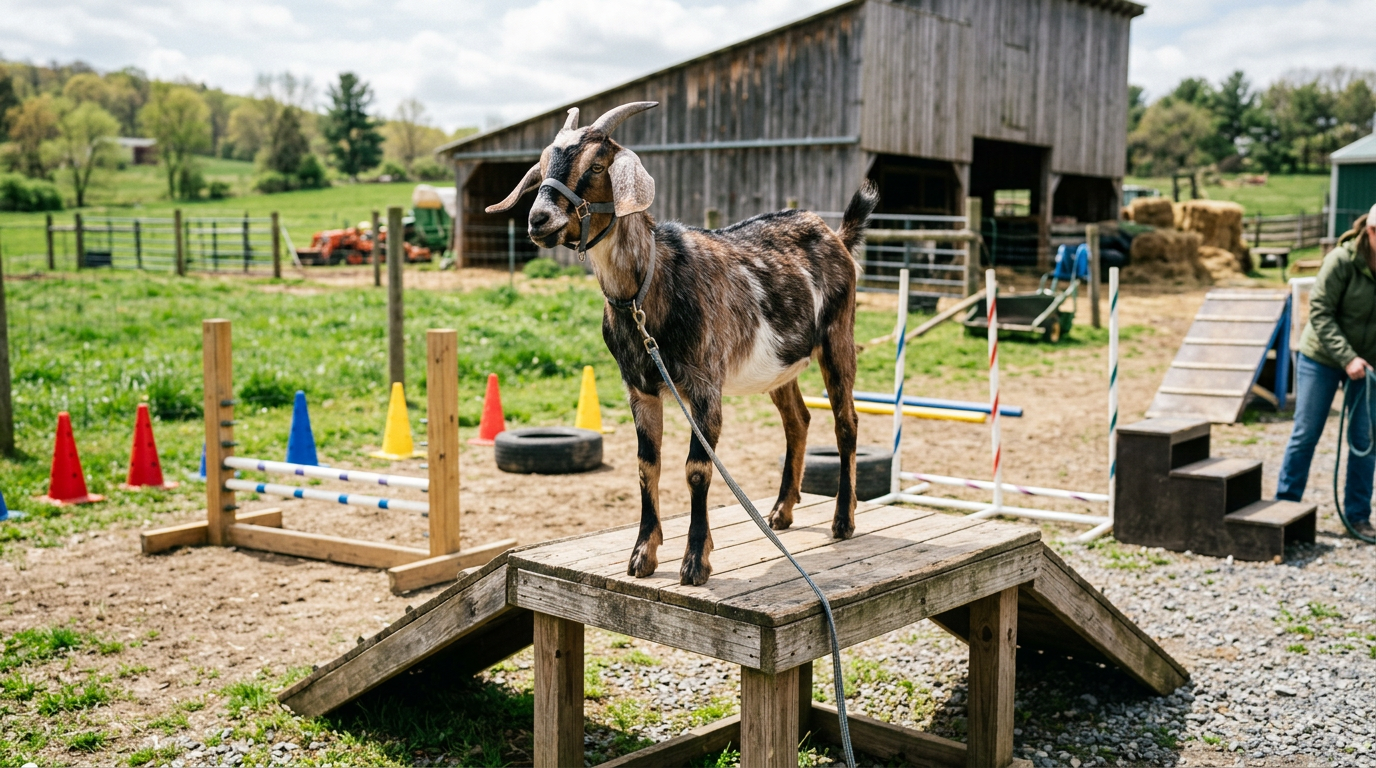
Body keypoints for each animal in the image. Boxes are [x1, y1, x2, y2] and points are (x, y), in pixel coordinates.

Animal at [486, 101, 876, 586]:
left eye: (595, 165)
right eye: (540, 169)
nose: (538, 220)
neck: (649, 288)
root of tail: (836, 235)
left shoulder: (705, 386)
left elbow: (697, 468)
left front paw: (695, 562)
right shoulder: (640, 389)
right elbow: (646, 465)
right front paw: (642, 555)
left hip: (839, 337)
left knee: (846, 422)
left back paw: (843, 520)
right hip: (779, 365)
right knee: (798, 421)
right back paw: (781, 512)